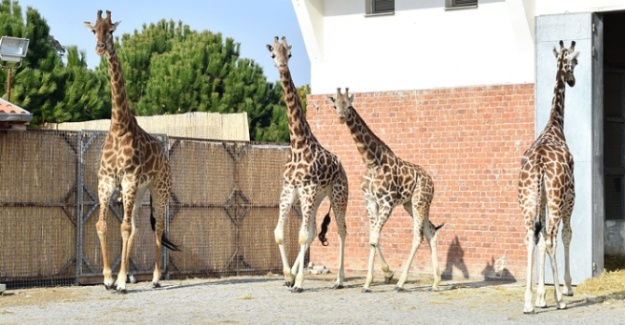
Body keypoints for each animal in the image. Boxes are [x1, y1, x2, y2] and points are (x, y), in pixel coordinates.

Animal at [84, 10, 179, 292]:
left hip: (159, 189)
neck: (118, 126)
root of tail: (165, 158)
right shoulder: (106, 181)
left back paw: (156, 278)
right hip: (139, 192)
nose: (100, 48)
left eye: (111, 31)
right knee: (137, 227)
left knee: (157, 228)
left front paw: (121, 281)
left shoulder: (127, 179)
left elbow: (124, 228)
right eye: (94, 30)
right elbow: (103, 225)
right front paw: (108, 278)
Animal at [266, 36, 348, 292]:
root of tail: (342, 168)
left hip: (337, 194)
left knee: (342, 230)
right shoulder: (289, 190)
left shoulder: (307, 189)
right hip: (316, 197)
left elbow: (301, 236)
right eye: (273, 54)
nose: (282, 67)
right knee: (312, 231)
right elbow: (280, 233)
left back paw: (339, 280)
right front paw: (287, 277)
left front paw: (300, 282)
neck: (297, 144)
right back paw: (294, 275)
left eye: (289, 54)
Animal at [326, 86, 444, 292]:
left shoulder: (387, 203)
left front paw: (368, 283)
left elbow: (374, 239)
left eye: (349, 106)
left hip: (420, 201)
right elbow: (373, 238)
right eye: (335, 105)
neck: (372, 161)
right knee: (431, 232)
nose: (341, 117)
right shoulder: (371, 202)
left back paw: (401, 283)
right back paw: (436, 283)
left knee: (418, 236)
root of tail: (431, 181)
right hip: (410, 204)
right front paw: (369, 282)